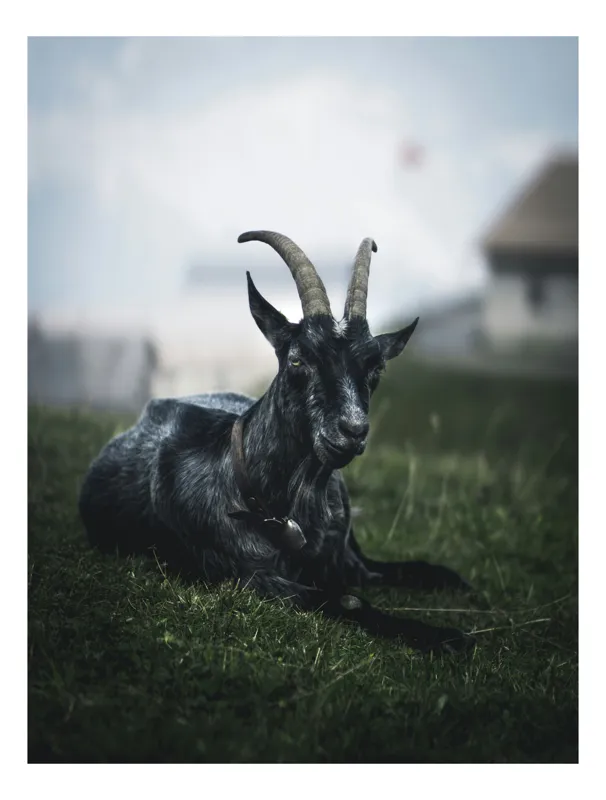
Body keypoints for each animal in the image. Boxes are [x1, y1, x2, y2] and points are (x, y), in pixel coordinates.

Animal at [79, 231, 475, 653]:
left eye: (376, 366)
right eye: (299, 359)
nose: (352, 430)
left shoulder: (347, 560)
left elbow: (413, 568)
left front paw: (459, 588)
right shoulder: (249, 577)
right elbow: (348, 601)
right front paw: (445, 636)